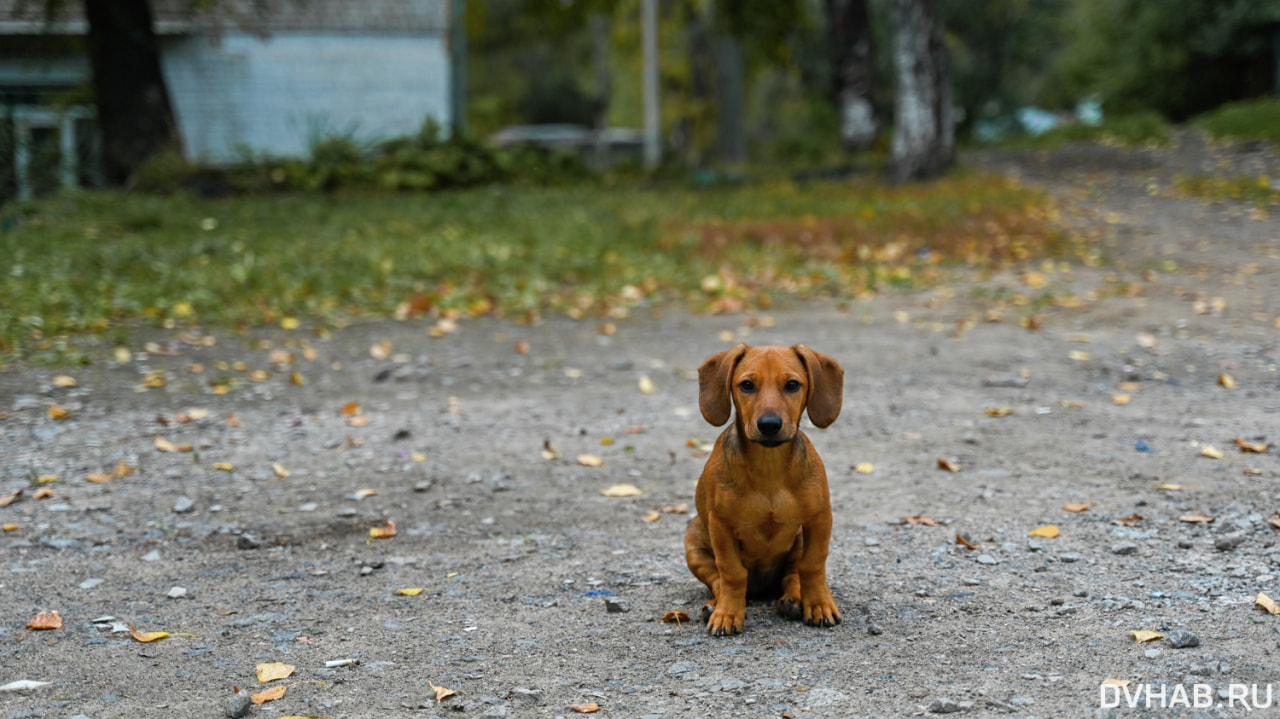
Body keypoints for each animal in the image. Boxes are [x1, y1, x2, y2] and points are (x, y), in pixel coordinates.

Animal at [686, 340, 844, 632]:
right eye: (747, 385)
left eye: (792, 385)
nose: (769, 425)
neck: (769, 468)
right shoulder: (720, 526)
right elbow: (731, 573)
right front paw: (727, 613)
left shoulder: (820, 519)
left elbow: (813, 565)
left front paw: (819, 604)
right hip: (693, 542)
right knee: (717, 581)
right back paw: (714, 605)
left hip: (798, 541)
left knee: (792, 576)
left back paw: (794, 600)